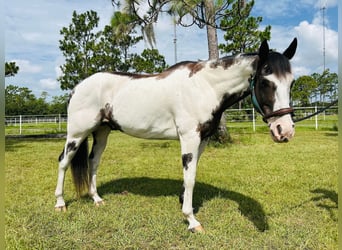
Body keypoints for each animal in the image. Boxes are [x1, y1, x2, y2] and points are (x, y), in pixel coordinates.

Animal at [54, 37, 298, 232]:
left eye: (291, 82)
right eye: (266, 81)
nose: (284, 131)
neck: (205, 87)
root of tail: (78, 87)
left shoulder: (202, 139)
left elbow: (191, 173)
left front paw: (184, 202)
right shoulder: (189, 137)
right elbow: (190, 177)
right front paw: (192, 220)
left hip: (102, 132)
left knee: (93, 161)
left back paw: (96, 199)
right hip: (77, 133)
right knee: (64, 162)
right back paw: (60, 203)